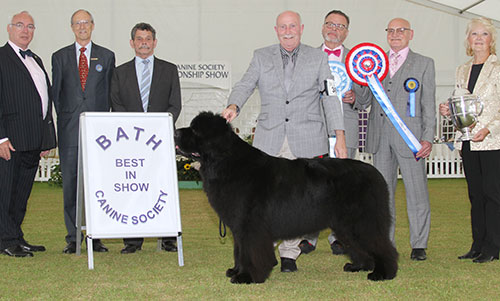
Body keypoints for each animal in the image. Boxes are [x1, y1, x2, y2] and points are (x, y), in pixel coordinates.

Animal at [175, 111, 398, 282]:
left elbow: (248, 252)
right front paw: (236, 271)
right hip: (345, 225)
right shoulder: (239, 227)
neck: (226, 161)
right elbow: (238, 250)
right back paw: (359, 266)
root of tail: (375, 173)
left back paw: (382, 273)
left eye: (195, 130)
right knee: (358, 245)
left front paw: (246, 277)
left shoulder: (250, 225)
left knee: (382, 245)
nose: (176, 132)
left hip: (362, 221)